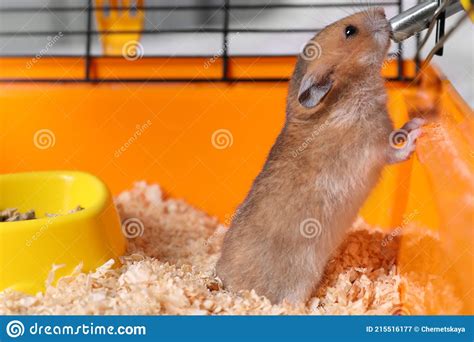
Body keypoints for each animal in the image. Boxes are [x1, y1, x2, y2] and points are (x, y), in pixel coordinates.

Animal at [215, 8, 426, 304]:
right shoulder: (373, 148)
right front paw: (418, 129)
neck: (347, 91)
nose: (383, 11)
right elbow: (397, 150)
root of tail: (223, 285)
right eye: (350, 31)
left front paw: (413, 122)